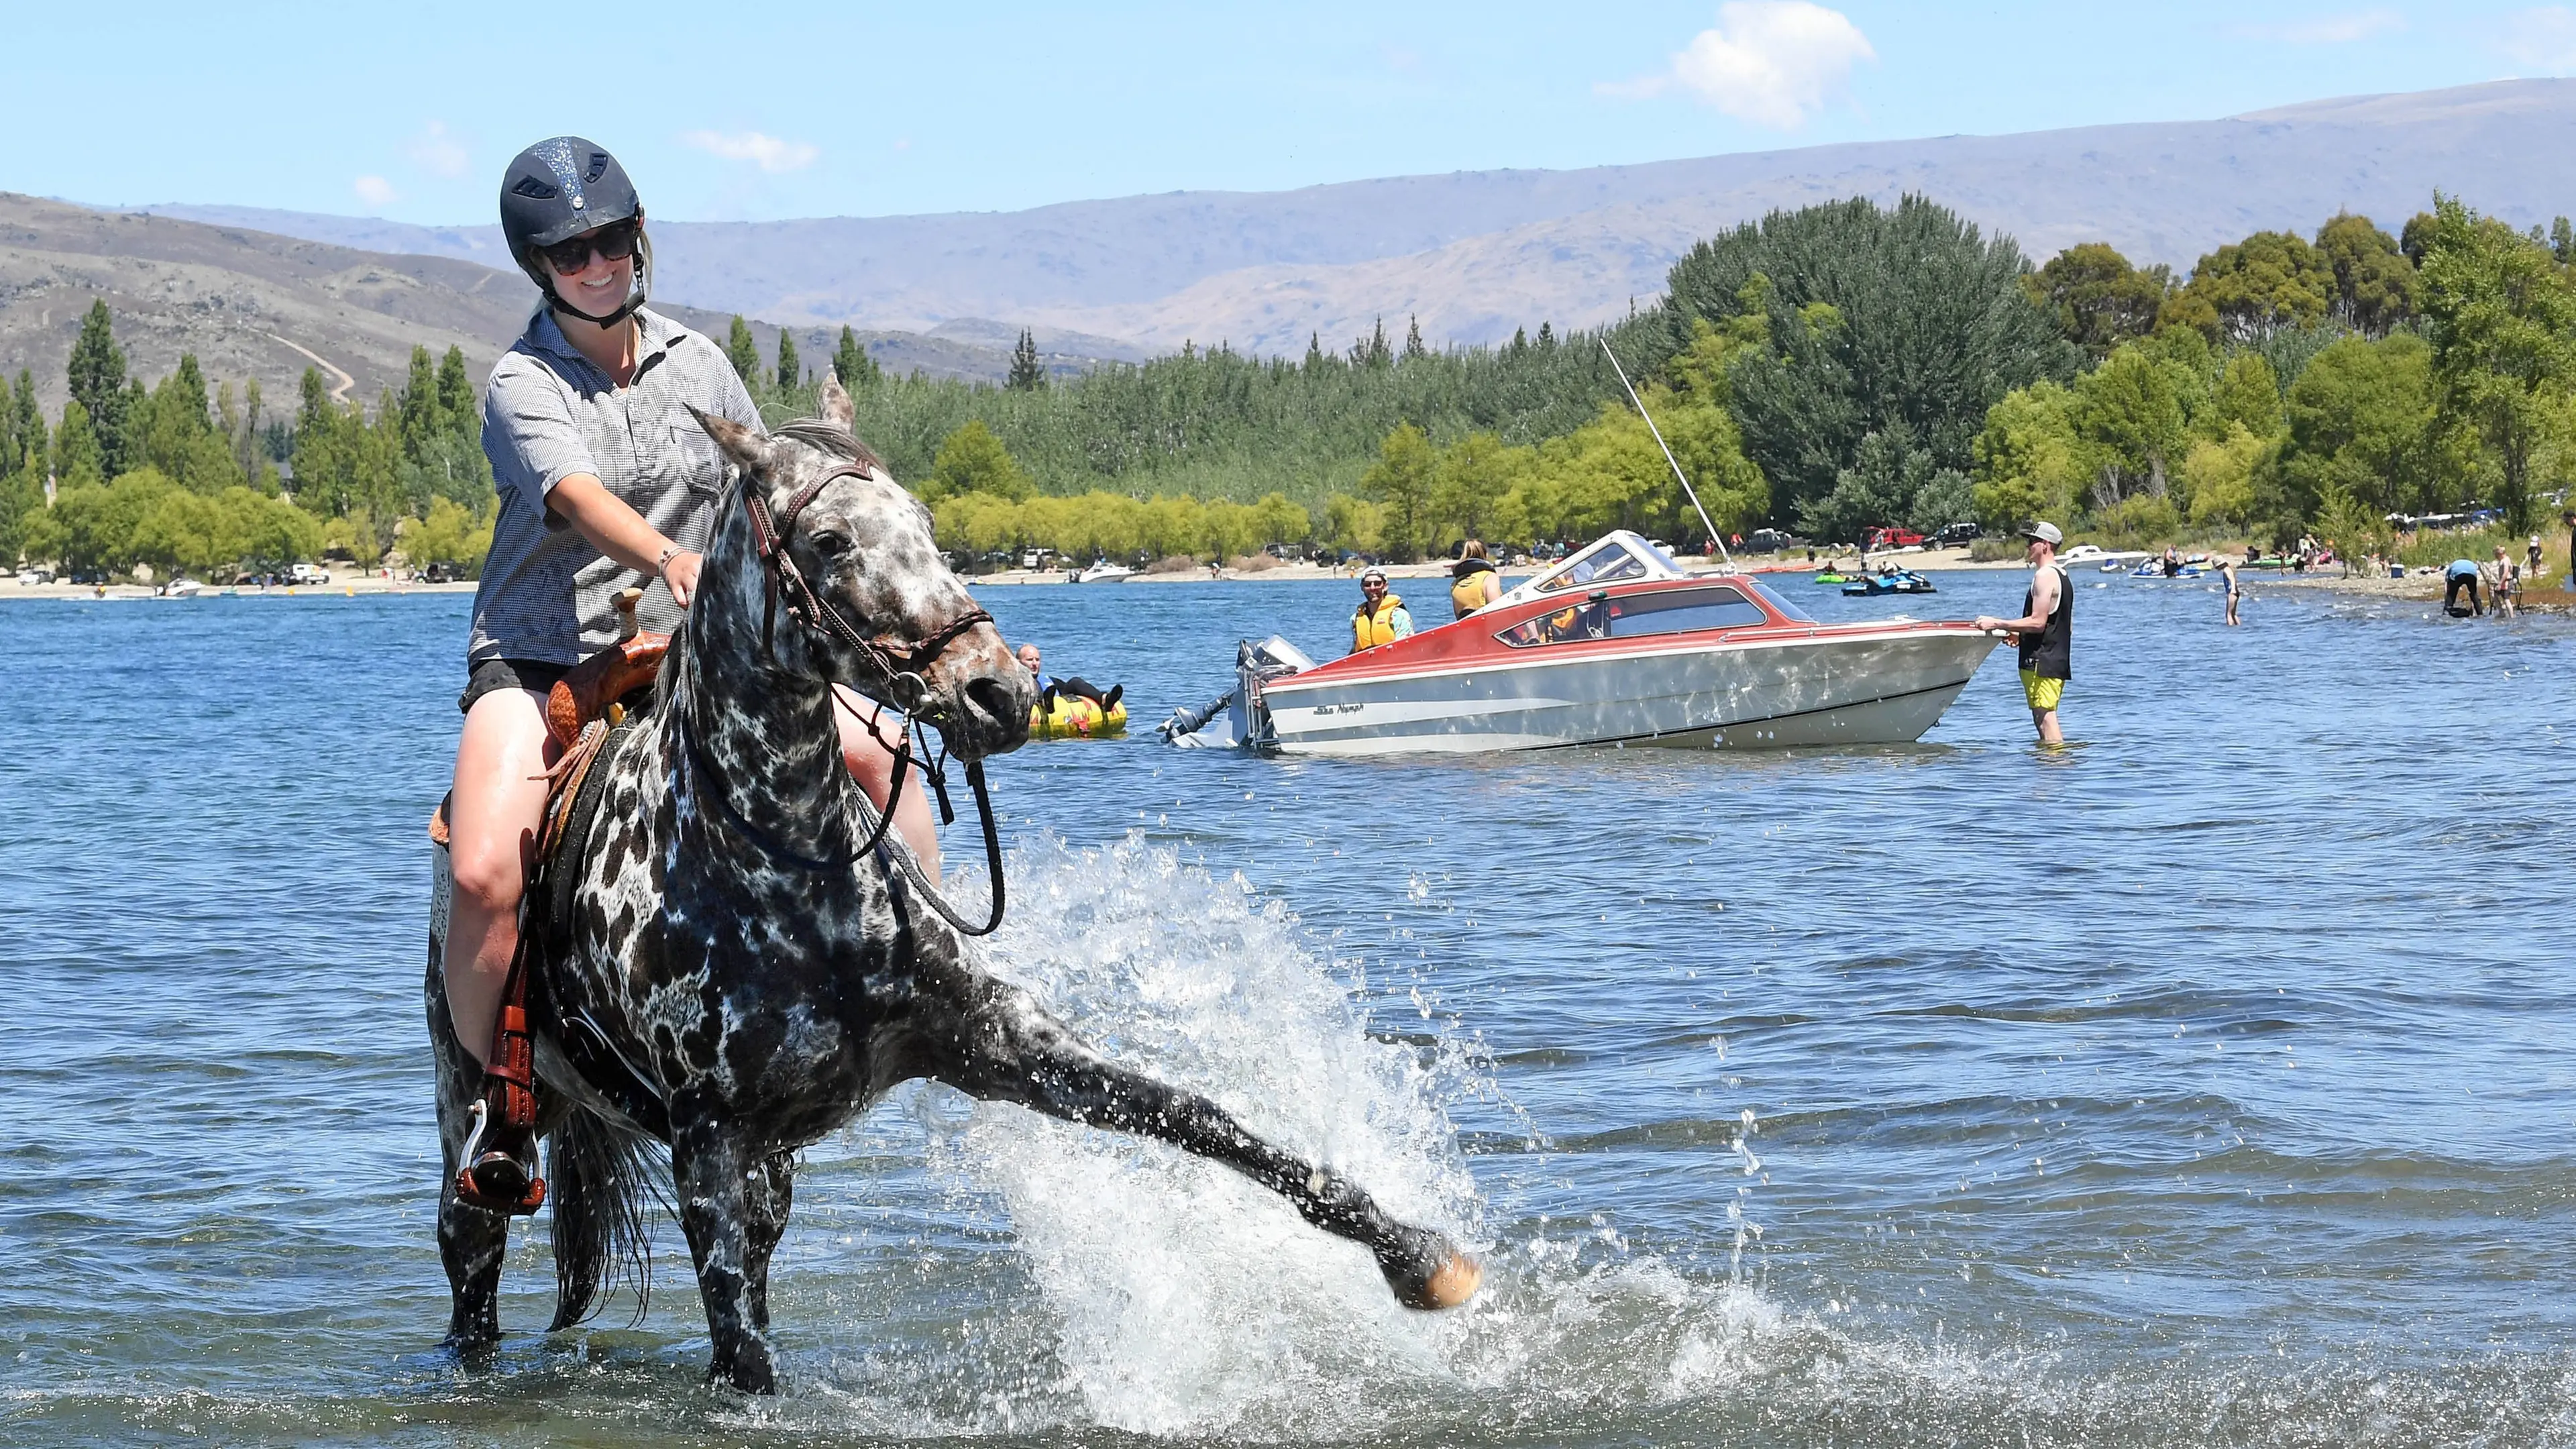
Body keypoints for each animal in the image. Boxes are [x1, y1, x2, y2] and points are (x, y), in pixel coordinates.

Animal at [424, 377, 1480, 1393]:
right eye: (829, 540)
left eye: (927, 524)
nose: (999, 691)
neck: (780, 870)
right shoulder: (708, 1144)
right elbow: (742, 1358)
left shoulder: (992, 1043)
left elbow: (1198, 1116)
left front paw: (1419, 1256)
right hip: (479, 1122)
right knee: (473, 1261)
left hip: (769, 1178)